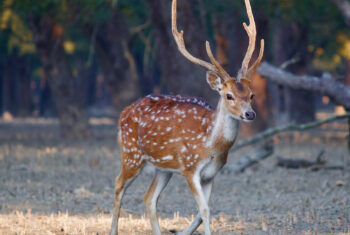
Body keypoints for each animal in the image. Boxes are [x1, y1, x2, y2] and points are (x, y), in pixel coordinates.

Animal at [109, 0, 262, 234]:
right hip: (132, 154)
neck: (211, 145)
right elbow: (205, 210)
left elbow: (202, 211)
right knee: (118, 184)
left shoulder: (211, 173)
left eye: (251, 94)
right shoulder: (190, 168)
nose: (250, 113)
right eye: (229, 95)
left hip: (163, 168)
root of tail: (124, 112)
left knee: (149, 197)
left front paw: (182, 231)